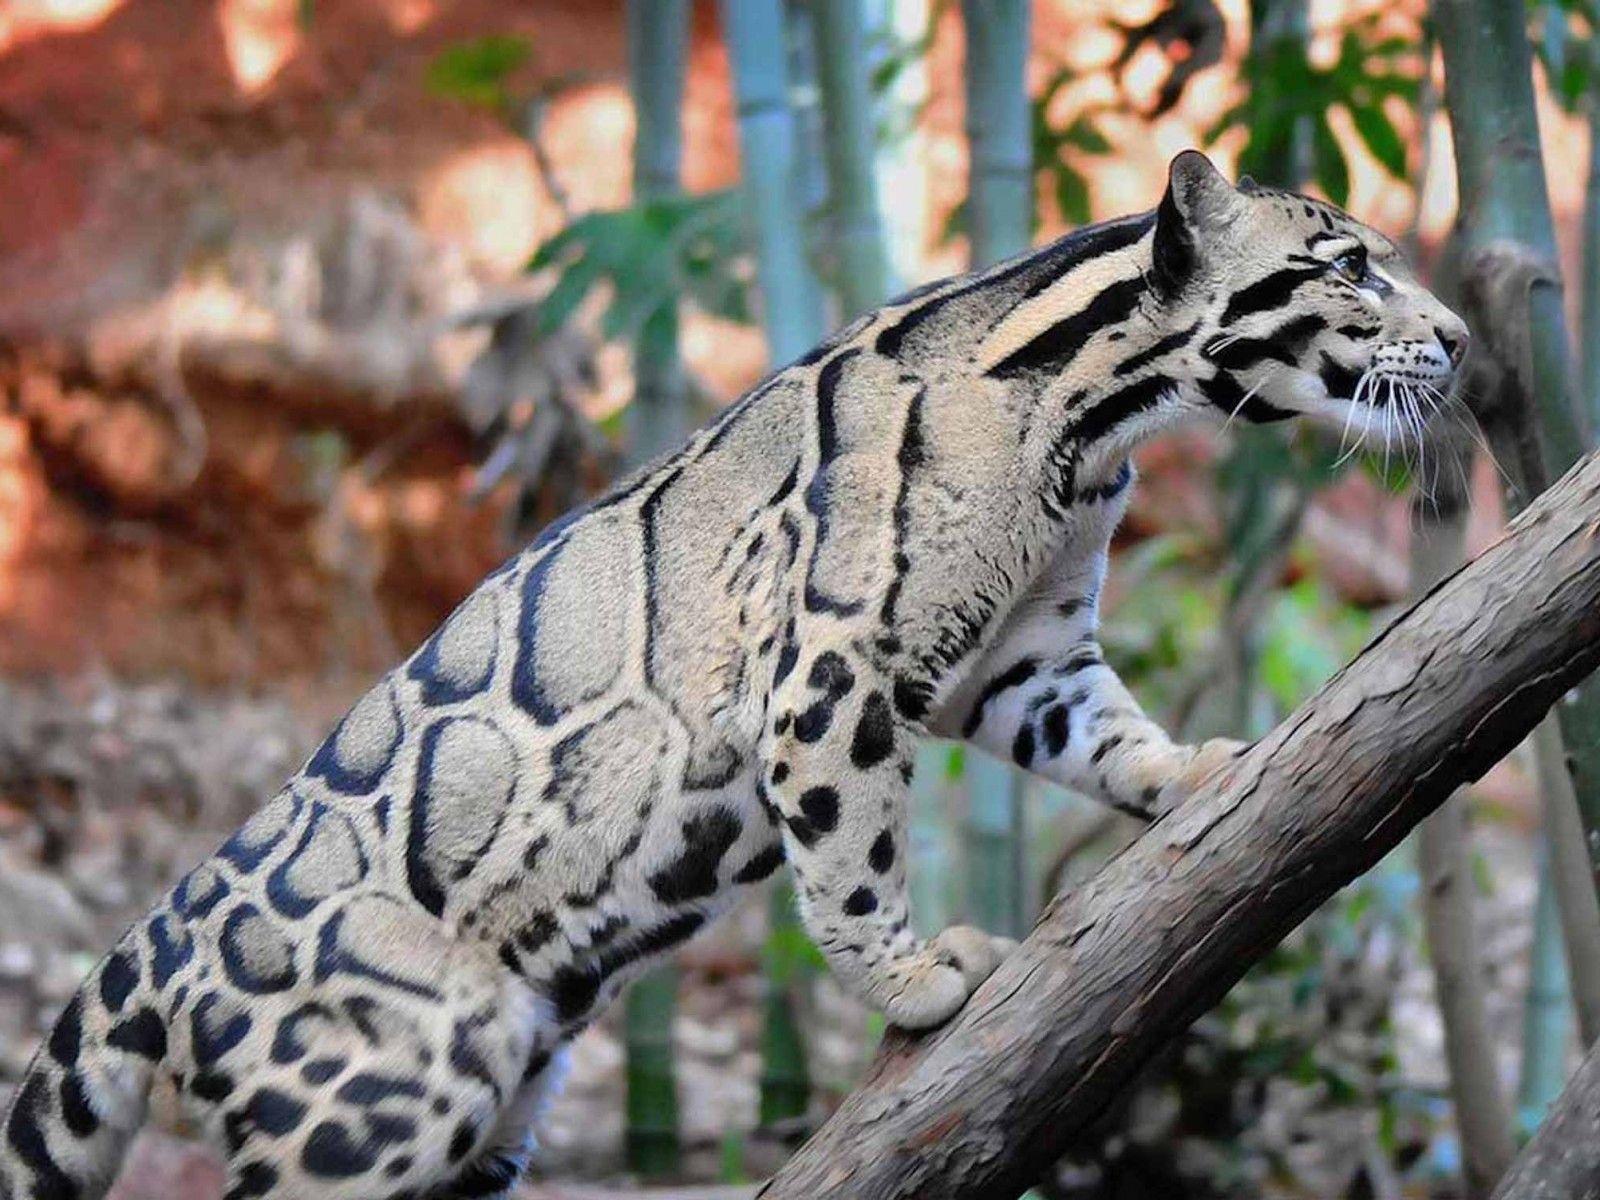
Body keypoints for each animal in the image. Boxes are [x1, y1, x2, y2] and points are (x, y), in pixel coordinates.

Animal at [0, 151, 1467, 1200]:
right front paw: (911, 977)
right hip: (378, 1107)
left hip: (495, 1114)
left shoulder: (1027, 654)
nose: (1457, 337)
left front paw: (1191, 772)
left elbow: (1099, 729)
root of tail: (159, 931)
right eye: (1350, 265)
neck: (1086, 428)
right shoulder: (829, 668)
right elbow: (849, 860)